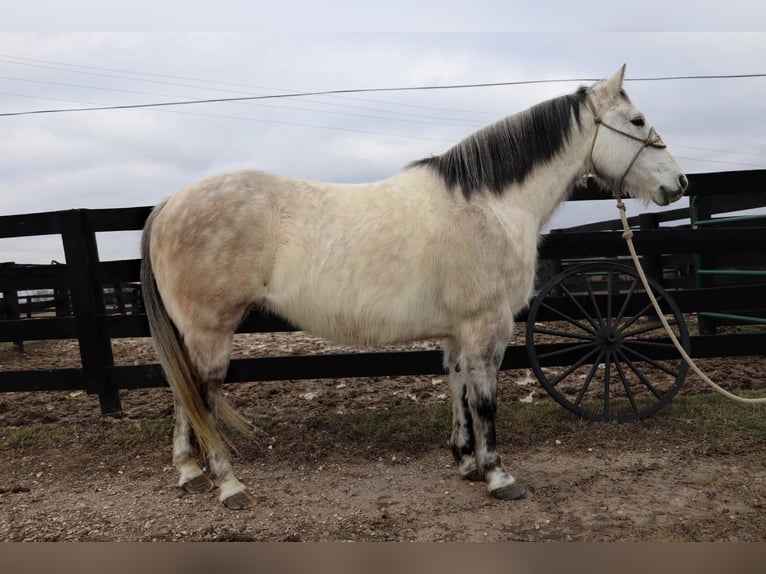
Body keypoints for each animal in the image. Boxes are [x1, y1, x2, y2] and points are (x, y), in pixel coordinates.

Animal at [142, 65, 688, 510]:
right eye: (637, 121)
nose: (678, 183)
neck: (488, 206)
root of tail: (168, 204)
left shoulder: (457, 332)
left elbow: (459, 390)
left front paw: (466, 463)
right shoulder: (487, 326)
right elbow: (485, 399)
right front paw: (498, 475)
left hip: (195, 335)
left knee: (184, 394)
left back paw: (189, 473)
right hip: (212, 332)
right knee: (204, 397)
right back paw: (229, 485)